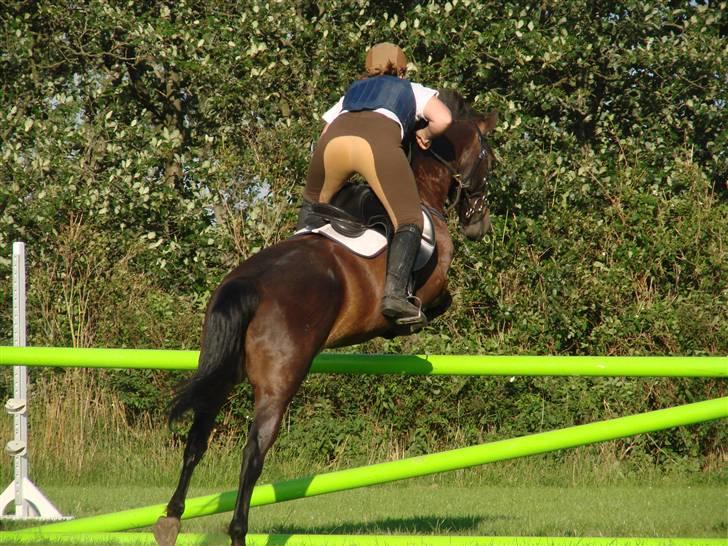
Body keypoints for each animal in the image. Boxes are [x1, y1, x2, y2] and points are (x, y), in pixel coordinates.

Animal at [152, 92, 494, 544]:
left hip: (221, 367)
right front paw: (405, 319)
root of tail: (248, 283)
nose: (479, 225)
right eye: (490, 157)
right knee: (253, 452)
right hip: (280, 381)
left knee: (197, 438)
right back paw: (238, 531)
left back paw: (171, 517)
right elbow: (441, 301)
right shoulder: (435, 282)